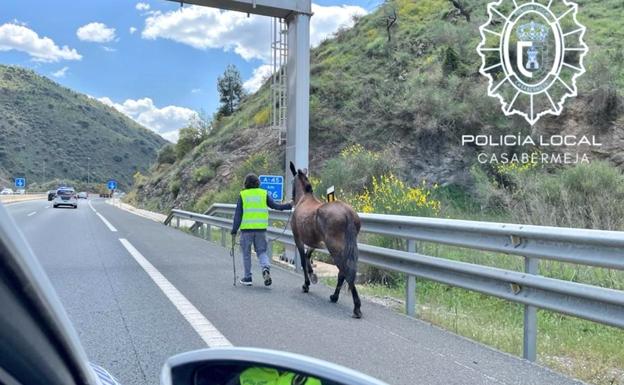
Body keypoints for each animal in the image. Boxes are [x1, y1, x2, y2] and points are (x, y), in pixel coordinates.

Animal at [288, 160, 360, 316]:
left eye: (291, 182)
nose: (290, 199)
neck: (304, 198)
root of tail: (347, 213)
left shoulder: (298, 238)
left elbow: (303, 259)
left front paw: (306, 284)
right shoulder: (315, 242)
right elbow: (308, 256)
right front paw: (312, 275)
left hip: (335, 248)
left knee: (345, 271)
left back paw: (356, 306)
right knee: (343, 272)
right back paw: (334, 297)